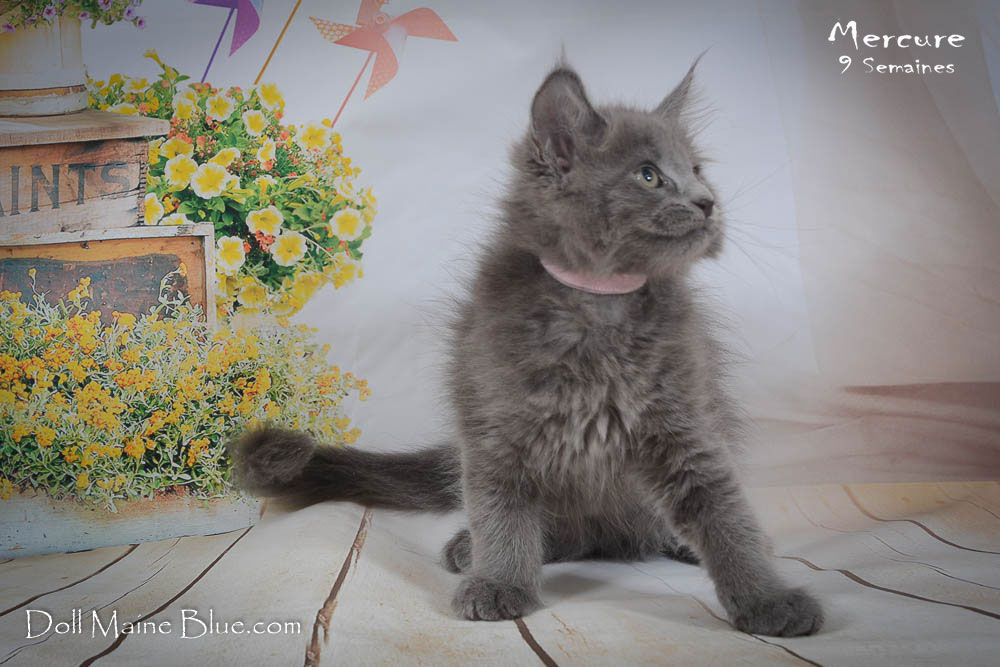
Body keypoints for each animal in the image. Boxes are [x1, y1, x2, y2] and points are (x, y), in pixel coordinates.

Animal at [231, 60, 824, 637]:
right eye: (649, 175)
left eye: (697, 169)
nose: (707, 202)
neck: (598, 302)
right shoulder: (496, 425)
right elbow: (503, 511)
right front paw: (499, 581)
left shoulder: (686, 423)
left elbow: (723, 514)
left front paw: (767, 598)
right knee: (557, 532)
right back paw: (472, 549)